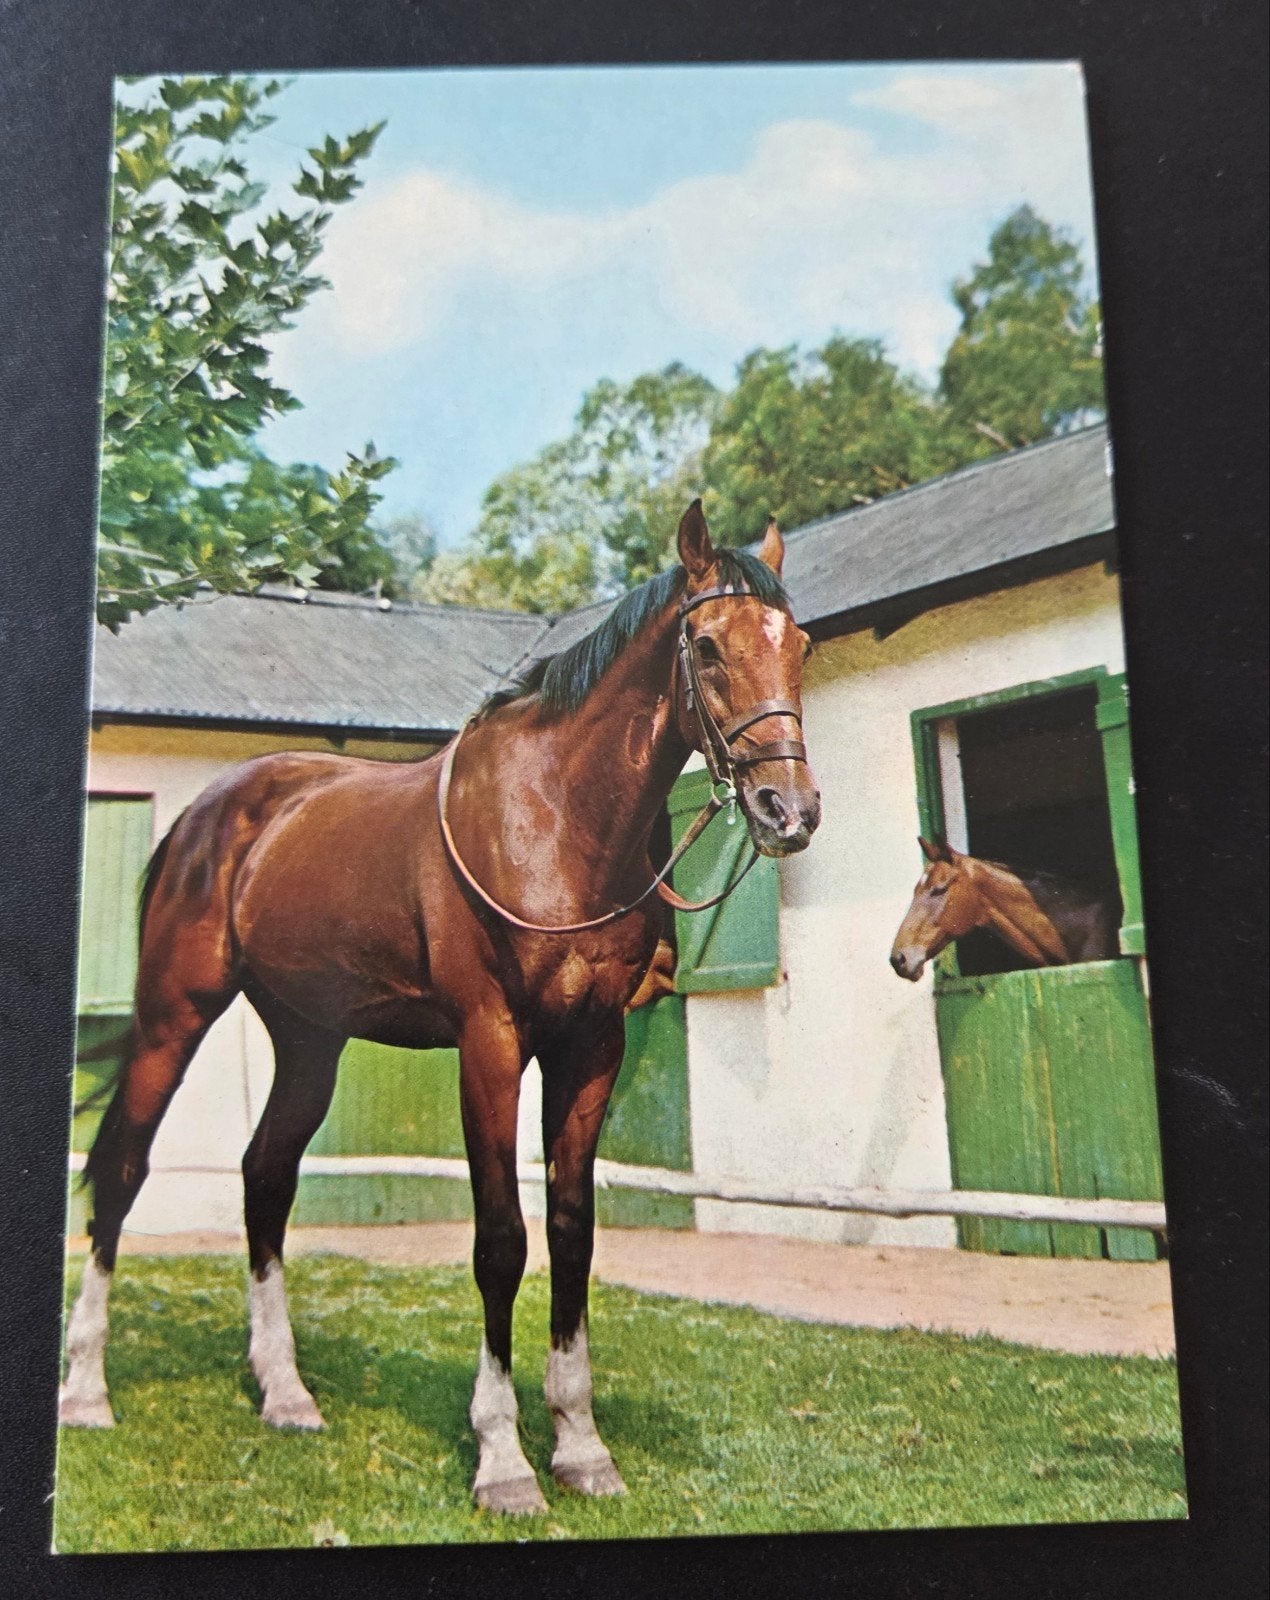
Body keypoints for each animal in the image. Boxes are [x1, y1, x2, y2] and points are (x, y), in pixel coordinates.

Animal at [60, 501, 821, 1516]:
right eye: (705, 646)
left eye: (799, 645)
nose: (789, 809)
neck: (554, 820)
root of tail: (209, 814)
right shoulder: (490, 1044)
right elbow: (501, 1241)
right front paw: (503, 1461)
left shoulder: (592, 1047)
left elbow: (571, 1235)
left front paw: (581, 1447)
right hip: (173, 1017)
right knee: (122, 1170)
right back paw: (87, 1390)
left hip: (309, 1040)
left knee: (266, 1177)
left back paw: (286, 1394)